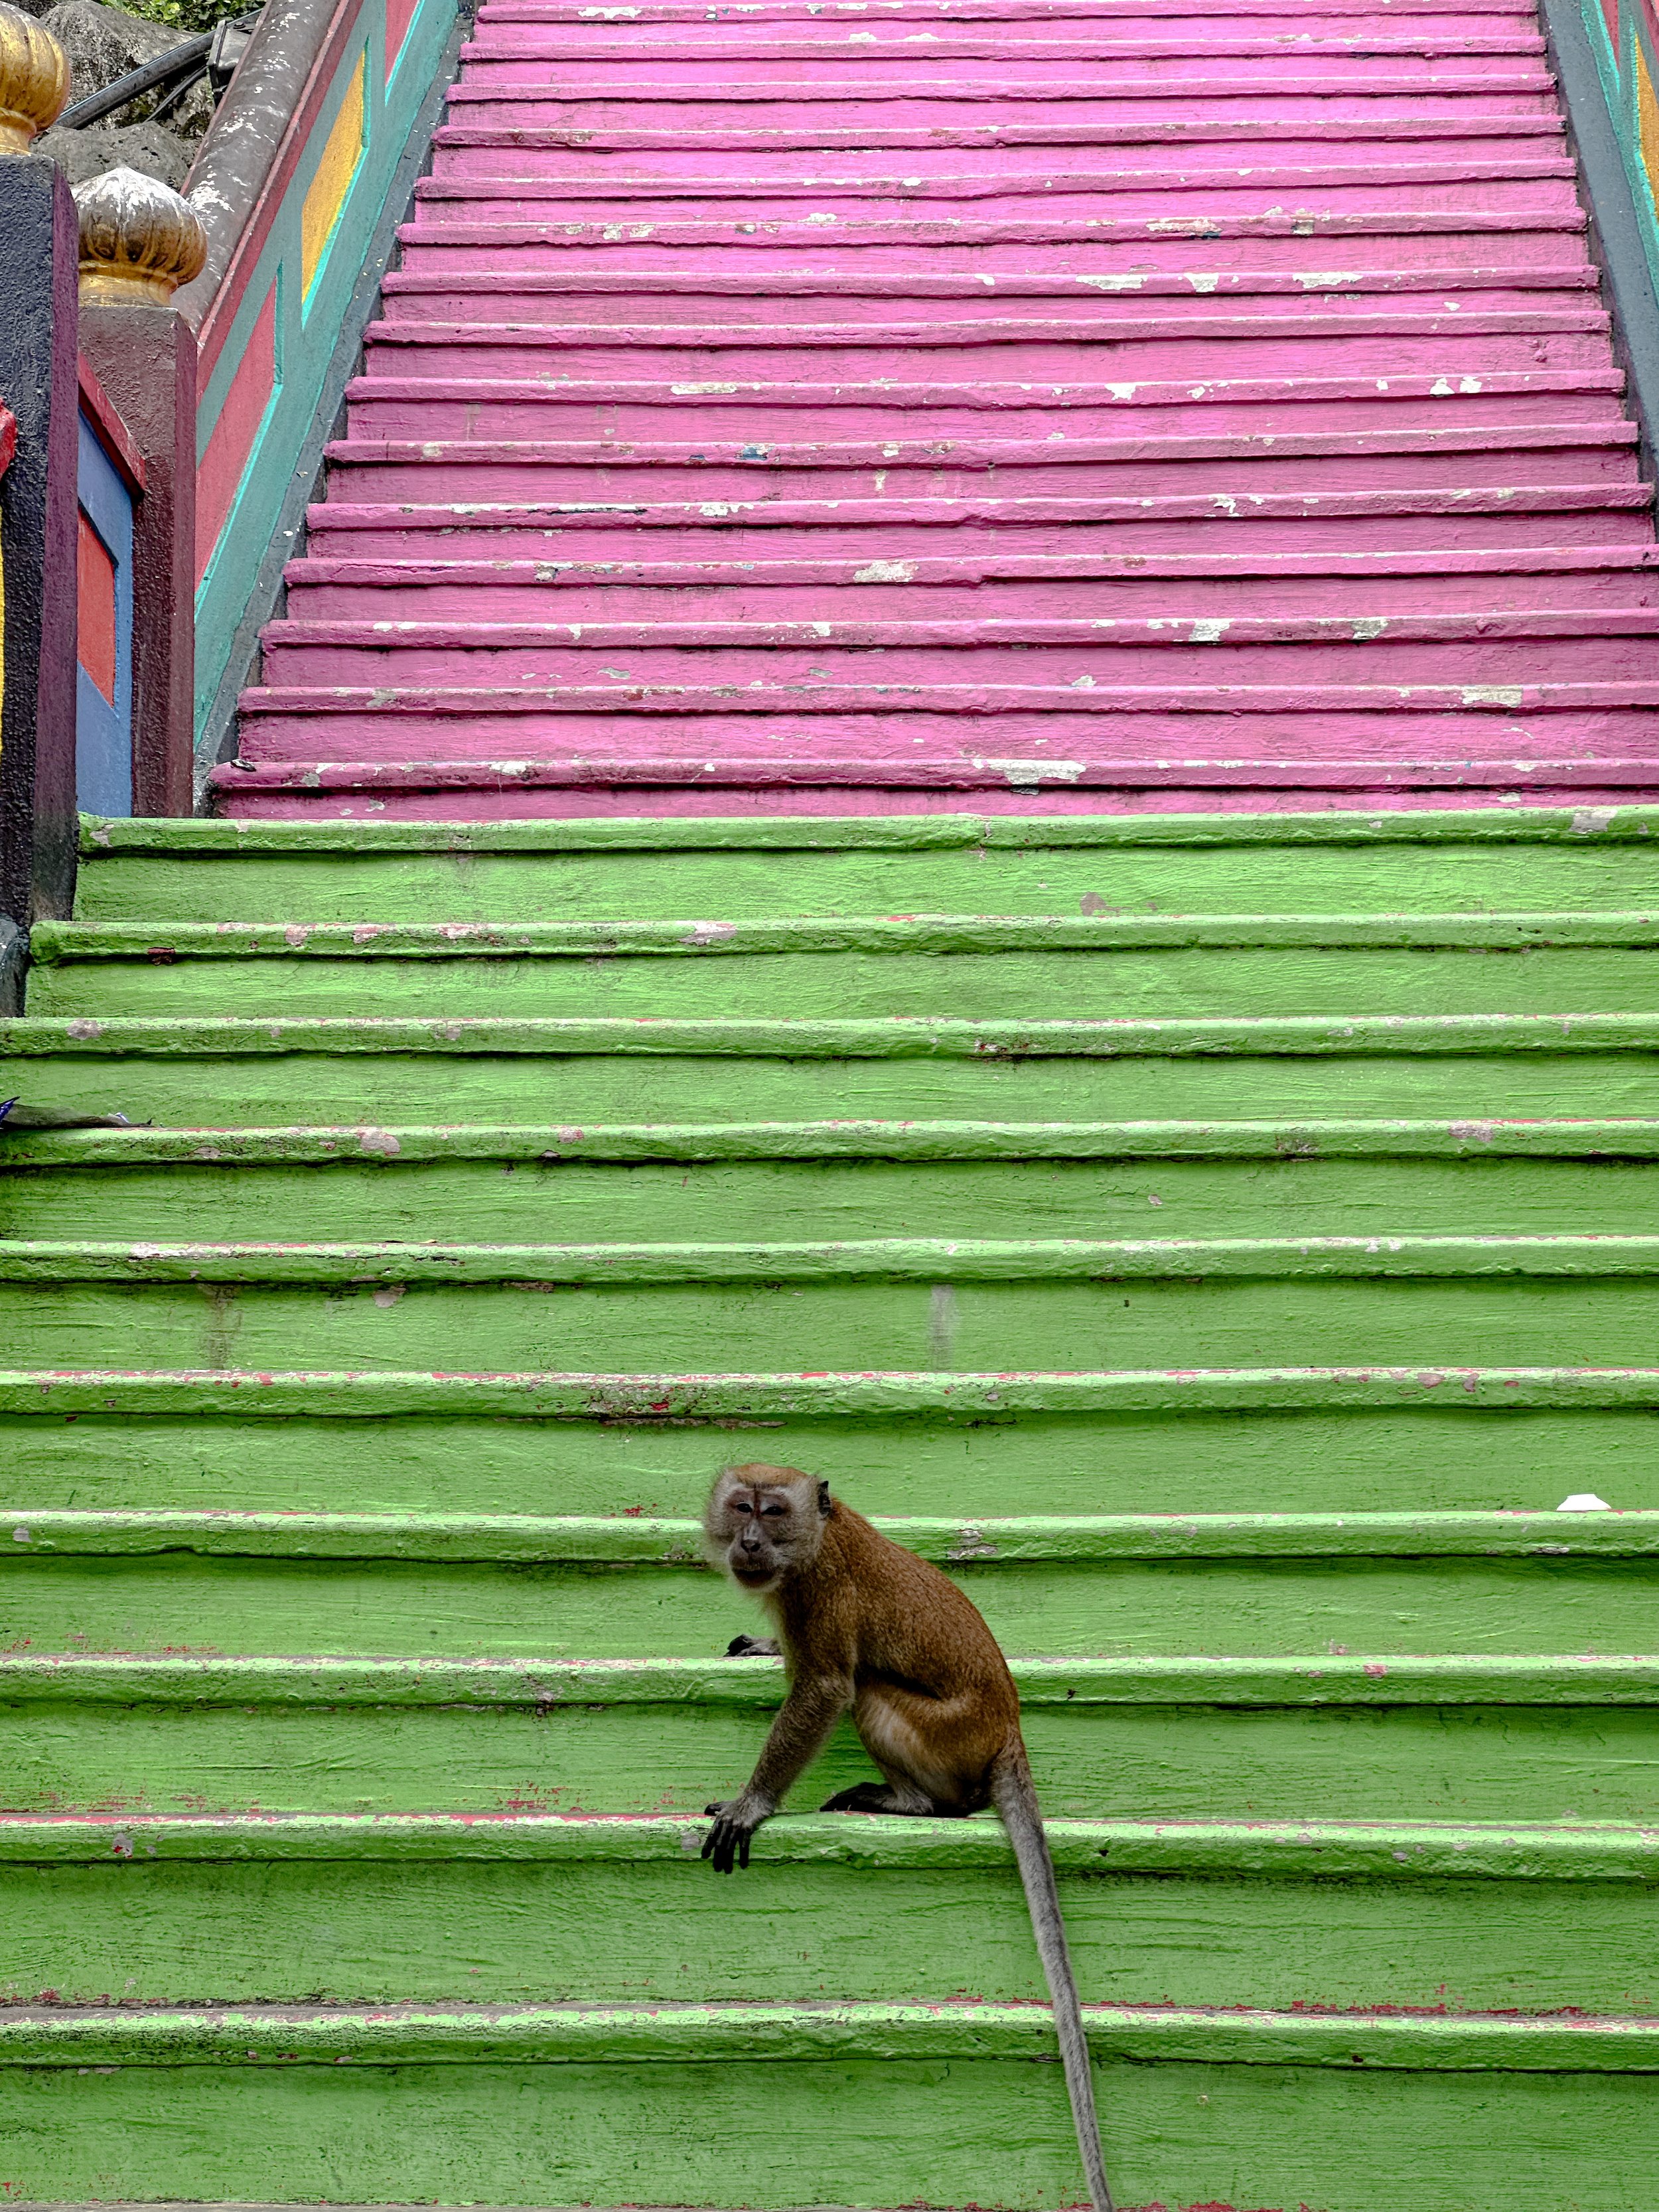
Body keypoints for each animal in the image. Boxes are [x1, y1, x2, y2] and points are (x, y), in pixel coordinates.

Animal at [701, 1461, 1115, 2212]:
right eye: (741, 1507)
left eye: (772, 1513)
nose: (748, 1542)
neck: (818, 1537)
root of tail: (1008, 1728)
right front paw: (763, 1646)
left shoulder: (819, 1593)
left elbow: (823, 1686)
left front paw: (754, 1802)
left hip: (944, 1736)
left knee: (867, 1686)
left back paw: (914, 1802)